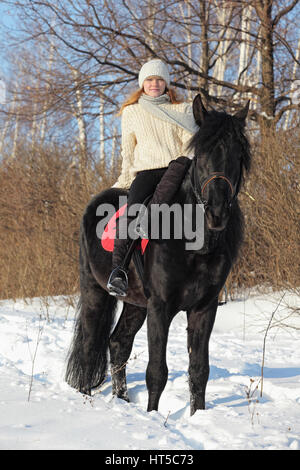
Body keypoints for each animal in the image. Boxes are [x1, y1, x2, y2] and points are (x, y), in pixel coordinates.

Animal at [65, 95, 251, 414]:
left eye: (238, 154)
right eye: (201, 153)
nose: (216, 213)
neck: (192, 242)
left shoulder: (204, 308)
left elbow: (199, 370)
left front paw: (197, 417)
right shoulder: (160, 307)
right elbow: (157, 372)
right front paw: (152, 416)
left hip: (135, 303)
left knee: (118, 344)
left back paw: (123, 399)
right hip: (95, 291)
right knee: (90, 345)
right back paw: (88, 397)